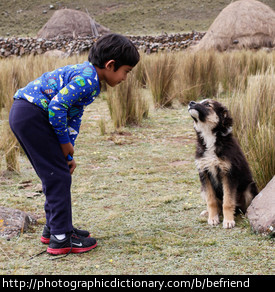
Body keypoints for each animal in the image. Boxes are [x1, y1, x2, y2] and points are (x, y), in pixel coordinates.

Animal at [188, 99, 258, 229]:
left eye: (208, 104)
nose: (191, 102)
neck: (209, 138)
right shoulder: (204, 172)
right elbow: (211, 201)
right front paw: (213, 218)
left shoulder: (229, 173)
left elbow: (228, 201)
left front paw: (228, 221)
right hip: (202, 188)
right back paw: (207, 213)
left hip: (250, 187)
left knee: (243, 207)